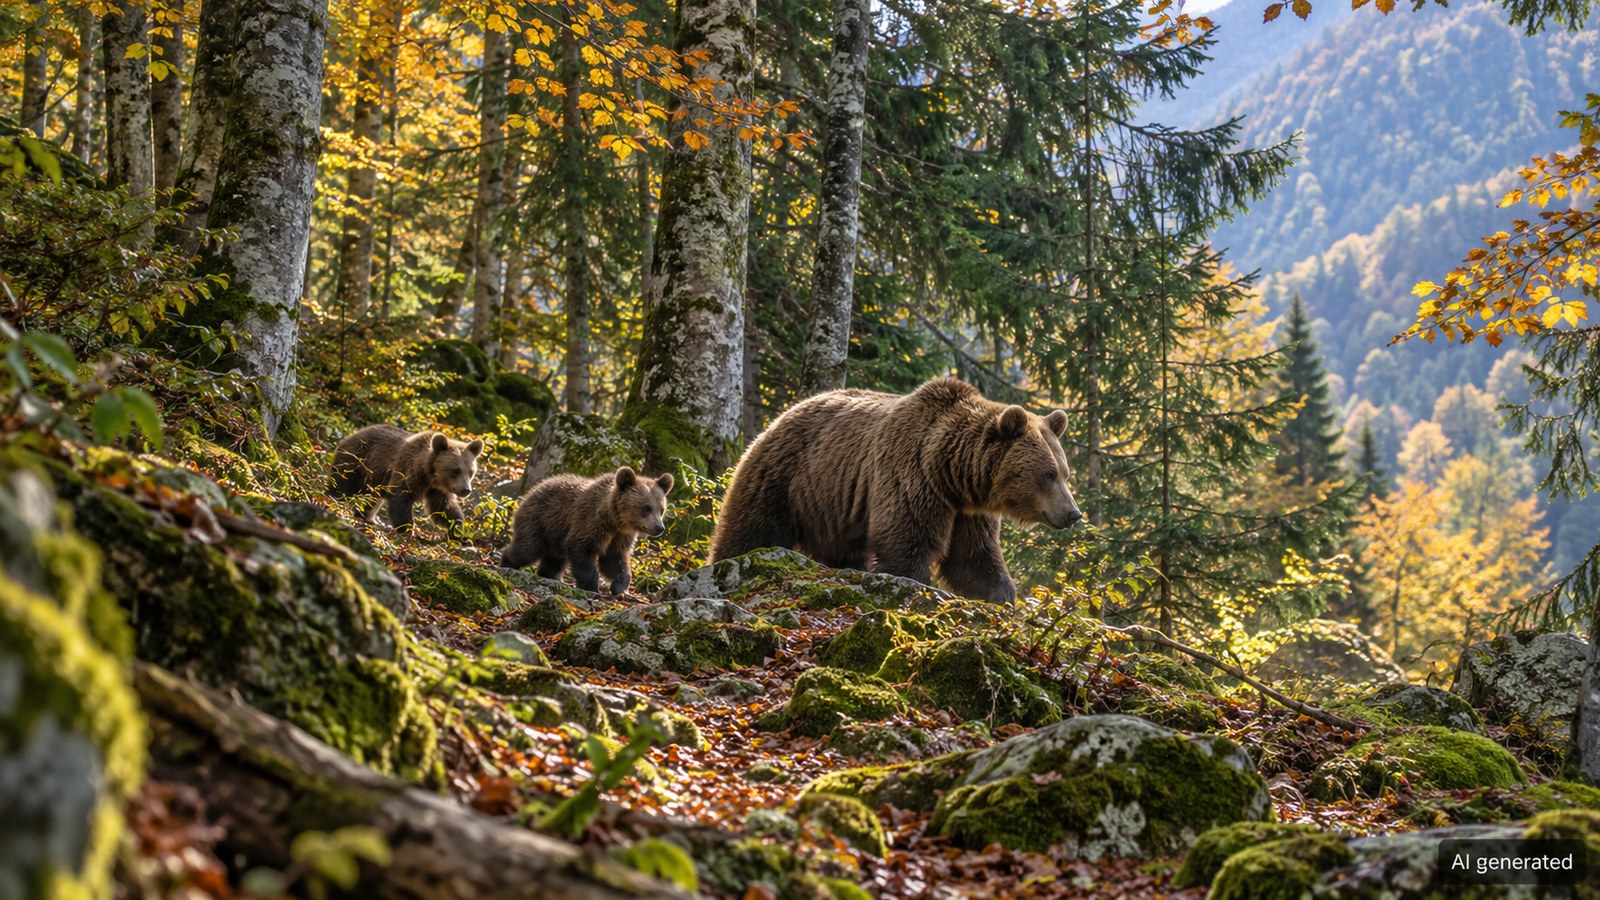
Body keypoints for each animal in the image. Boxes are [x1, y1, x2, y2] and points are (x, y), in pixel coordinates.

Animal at [329, 424, 484, 537]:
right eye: (455, 470)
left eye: (471, 472)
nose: (466, 490)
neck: (429, 475)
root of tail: (349, 436)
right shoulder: (407, 472)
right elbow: (401, 499)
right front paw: (407, 529)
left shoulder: (437, 490)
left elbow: (443, 508)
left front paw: (458, 531)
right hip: (356, 462)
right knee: (342, 484)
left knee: (370, 498)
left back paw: (366, 516)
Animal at [500, 466, 674, 596]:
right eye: (646, 508)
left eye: (661, 509)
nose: (659, 528)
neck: (615, 519)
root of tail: (533, 490)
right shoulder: (590, 521)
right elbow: (582, 548)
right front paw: (591, 586)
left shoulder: (620, 536)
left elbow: (614, 559)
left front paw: (618, 586)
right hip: (541, 521)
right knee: (527, 548)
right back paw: (507, 562)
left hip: (555, 535)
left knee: (554, 560)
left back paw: (550, 576)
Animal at [709, 377, 1081, 603]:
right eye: (1047, 475)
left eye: (1064, 473)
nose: (1073, 513)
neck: (951, 471)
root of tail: (783, 415)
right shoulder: (911, 475)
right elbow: (907, 542)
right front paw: (914, 585)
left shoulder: (968, 510)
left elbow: (972, 557)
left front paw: (1002, 596)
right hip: (785, 477)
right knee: (752, 530)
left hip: (831, 508)